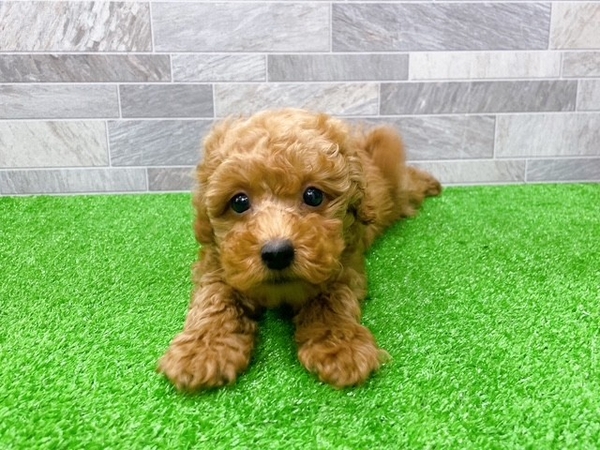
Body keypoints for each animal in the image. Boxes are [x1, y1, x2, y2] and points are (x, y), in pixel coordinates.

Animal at [158, 109, 441, 390]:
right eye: (239, 202)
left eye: (313, 196)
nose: (277, 253)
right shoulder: (217, 262)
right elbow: (216, 296)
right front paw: (203, 349)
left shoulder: (343, 264)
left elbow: (331, 298)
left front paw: (341, 346)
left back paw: (431, 183)